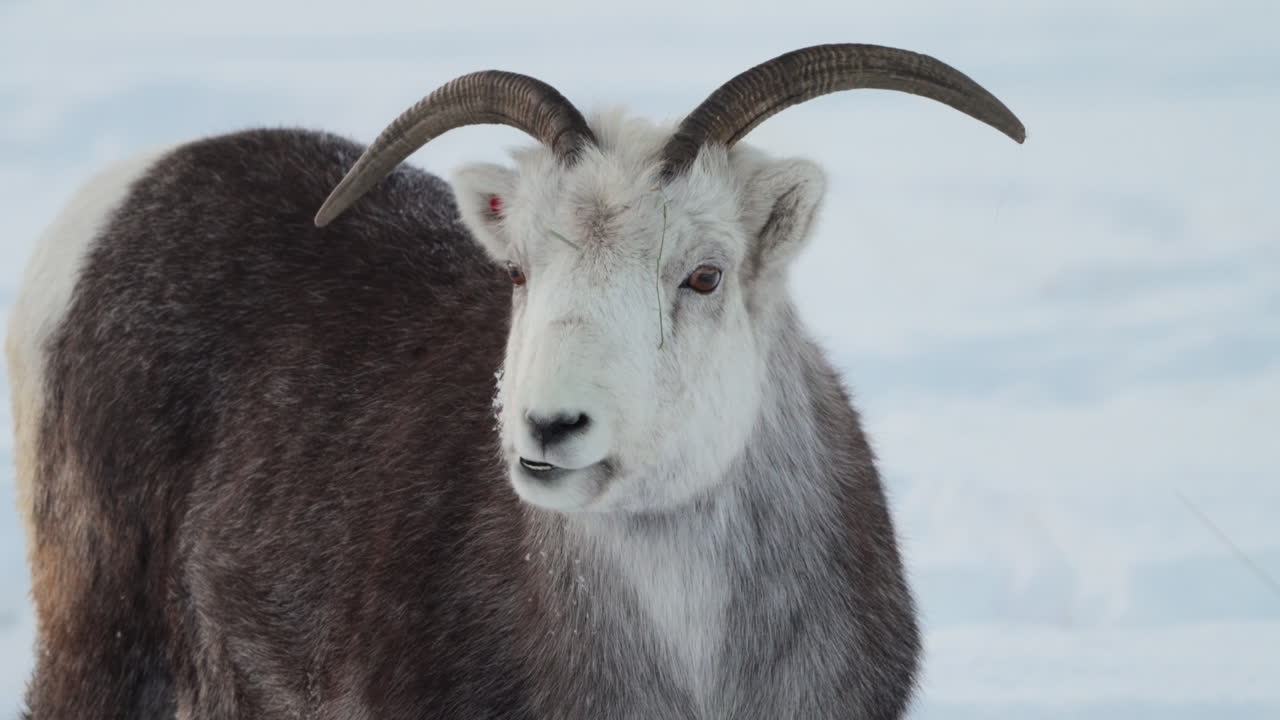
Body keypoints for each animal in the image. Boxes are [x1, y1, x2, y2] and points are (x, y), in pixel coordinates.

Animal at [5, 44, 1023, 719]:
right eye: (522, 270)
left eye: (704, 275)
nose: (550, 429)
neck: (688, 666)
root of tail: (118, 195)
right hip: (101, 644)